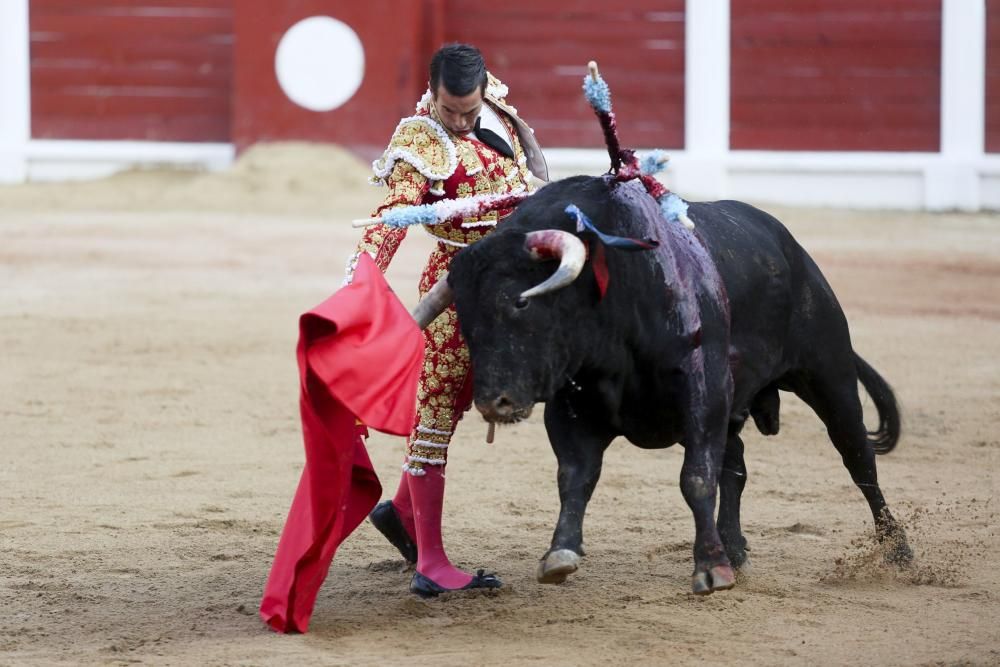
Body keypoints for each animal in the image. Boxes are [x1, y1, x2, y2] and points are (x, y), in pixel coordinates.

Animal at [446, 176, 916, 596]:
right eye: (464, 316)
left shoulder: (702, 395)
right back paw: (734, 549)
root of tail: (793, 251)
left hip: (829, 373)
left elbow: (696, 478)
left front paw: (709, 569)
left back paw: (899, 552)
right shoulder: (572, 405)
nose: (494, 403)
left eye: (521, 302)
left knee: (858, 458)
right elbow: (576, 476)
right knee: (736, 464)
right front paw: (560, 554)